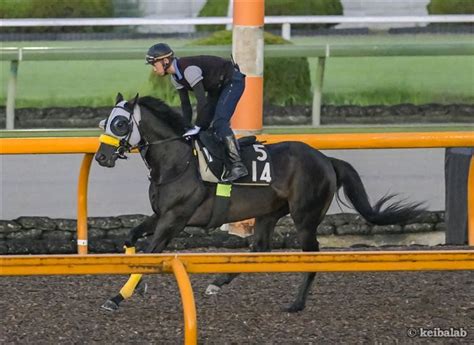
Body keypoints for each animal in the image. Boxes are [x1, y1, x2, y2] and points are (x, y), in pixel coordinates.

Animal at [94, 94, 424, 312]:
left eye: (120, 123)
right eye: (104, 122)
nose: (101, 157)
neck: (178, 161)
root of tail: (325, 159)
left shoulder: (174, 219)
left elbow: (150, 250)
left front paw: (117, 297)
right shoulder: (160, 214)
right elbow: (131, 238)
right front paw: (138, 285)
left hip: (305, 217)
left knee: (311, 254)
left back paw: (296, 303)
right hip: (268, 213)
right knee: (260, 248)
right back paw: (217, 282)